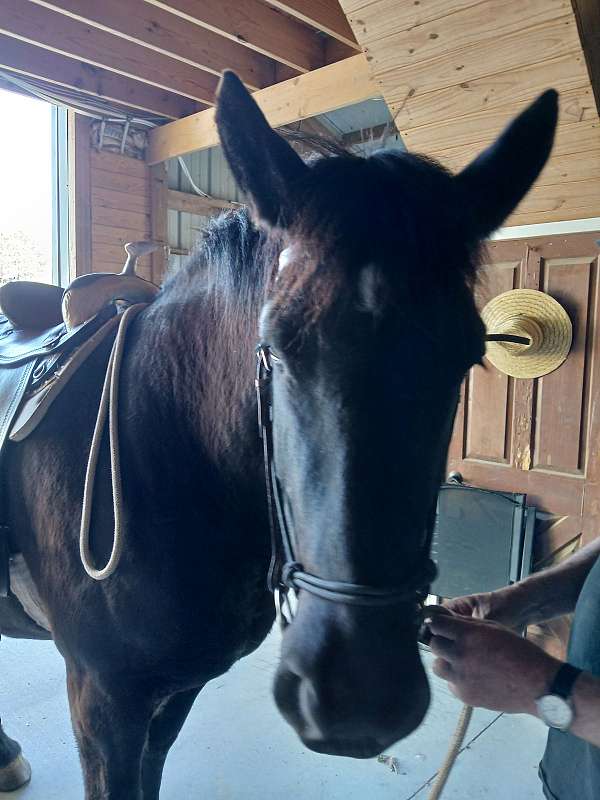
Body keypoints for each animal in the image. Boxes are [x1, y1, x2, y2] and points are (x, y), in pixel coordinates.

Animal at [0, 73, 558, 799]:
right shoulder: (102, 703)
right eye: (274, 345)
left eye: (469, 353)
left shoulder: (175, 694)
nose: (358, 697)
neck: (168, 453)